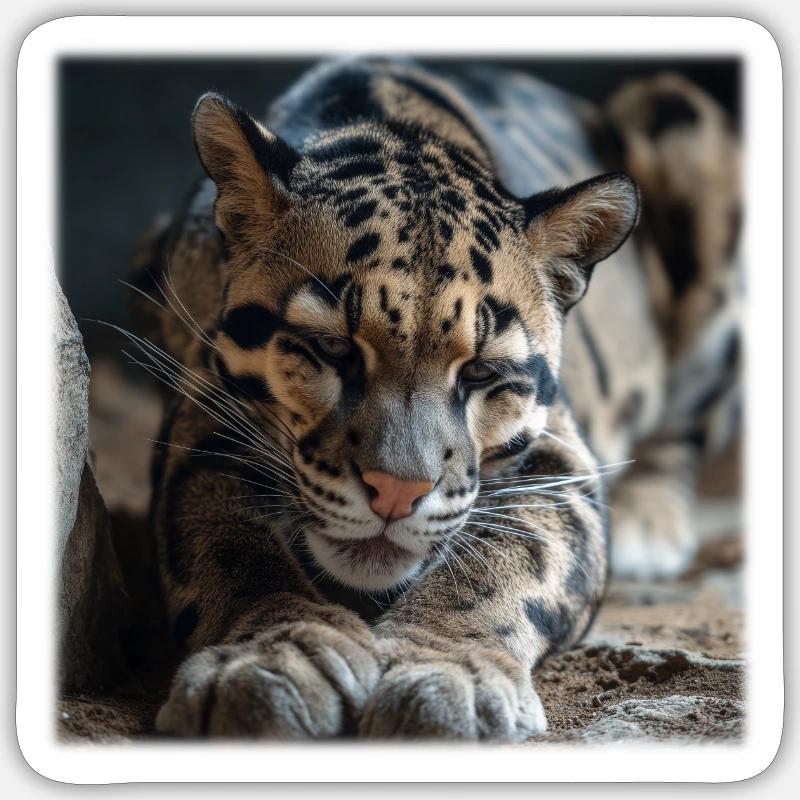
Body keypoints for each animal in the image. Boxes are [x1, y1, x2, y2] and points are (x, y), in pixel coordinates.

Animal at [127, 57, 741, 740]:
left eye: (480, 372)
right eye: (333, 349)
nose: (397, 494)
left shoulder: (559, 455)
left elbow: (510, 555)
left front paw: (448, 670)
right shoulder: (201, 416)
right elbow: (227, 542)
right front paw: (273, 656)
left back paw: (647, 523)